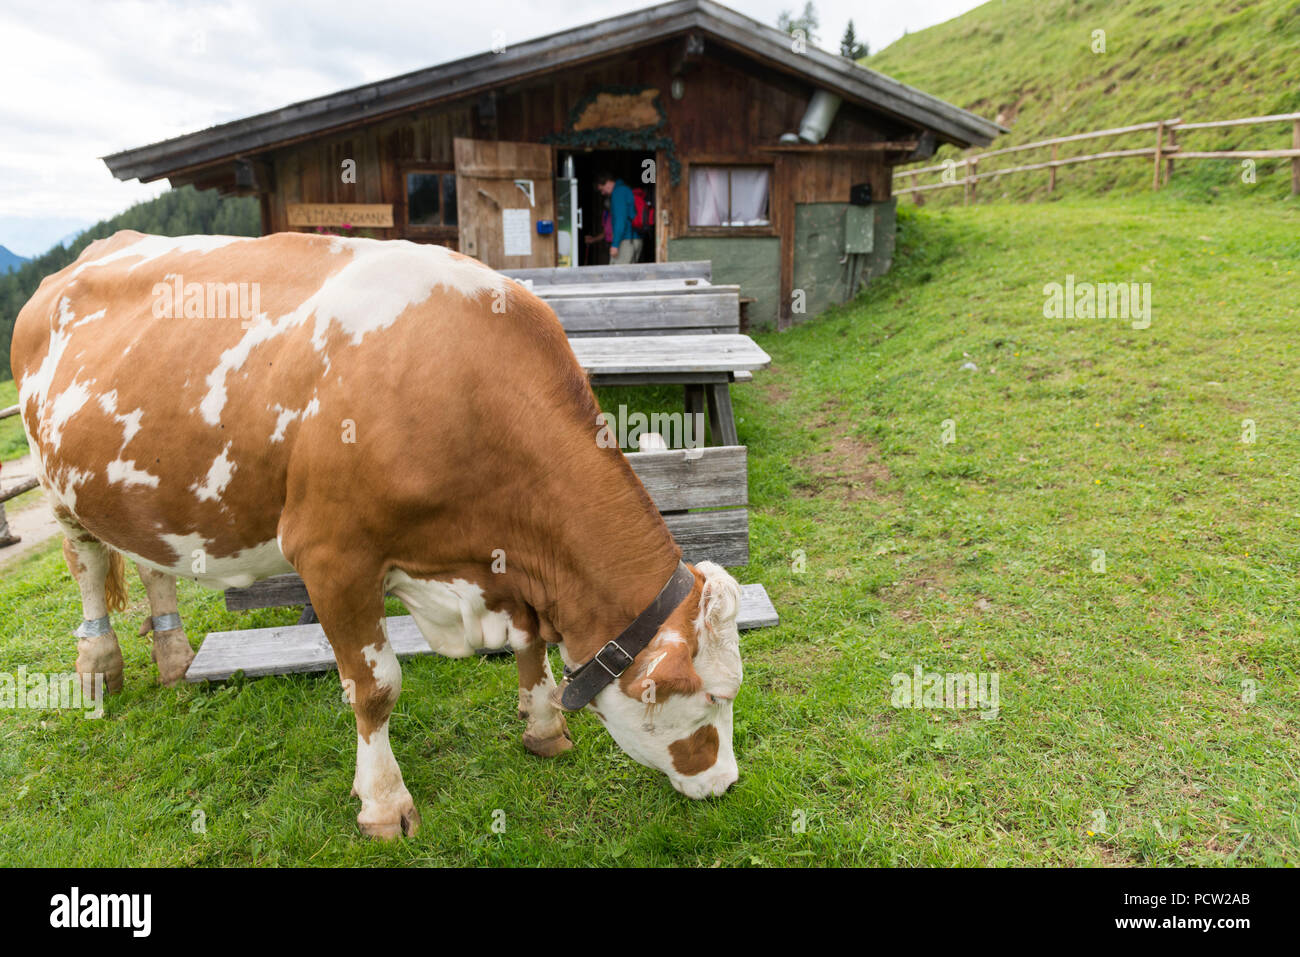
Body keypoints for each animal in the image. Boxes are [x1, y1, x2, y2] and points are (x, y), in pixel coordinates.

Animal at [10, 231, 748, 837]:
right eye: (712, 696)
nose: (726, 783)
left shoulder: (503, 566)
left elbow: (531, 642)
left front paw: (544, 728)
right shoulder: (332, 556)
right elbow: (375, 687)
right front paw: (384, 805)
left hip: (139, 493)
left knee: (150, 560)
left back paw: (172, 656)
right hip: (56, 485)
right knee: (86, 564)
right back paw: (99, 667)